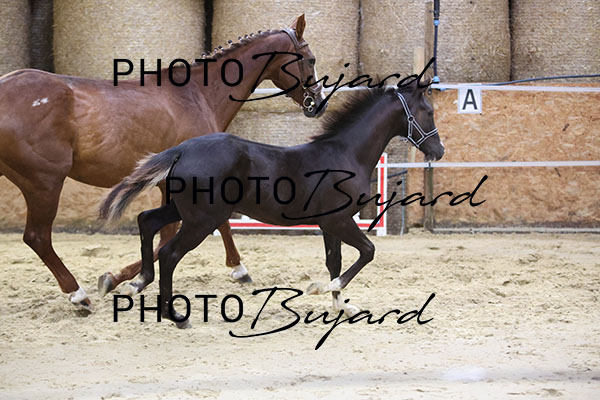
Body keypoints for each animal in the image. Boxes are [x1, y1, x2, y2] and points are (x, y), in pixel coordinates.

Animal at [0, 14, 326, 311]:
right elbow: (188, 231)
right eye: (310, 59)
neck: (199, 94)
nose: (318, 103)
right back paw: (79, 295)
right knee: (38, 238)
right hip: (44, 182)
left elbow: (184, 229)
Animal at [100, 80, 445, 327]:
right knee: (170, 253)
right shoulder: (339, 221)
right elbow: (367, 252)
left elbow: (334, 261)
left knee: (147, 220)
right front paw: (320, 290)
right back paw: (174, 315)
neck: (345, 154)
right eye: (428, 111)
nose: (439, 150)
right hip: (201, 220)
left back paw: (136, 284)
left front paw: (341, 306)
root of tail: (181, 149)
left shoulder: (329, 223)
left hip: (183, 210)